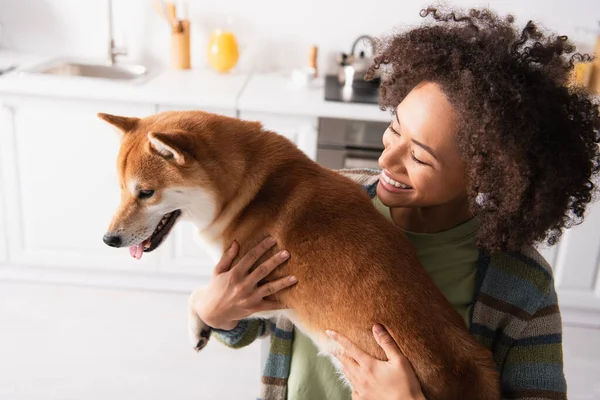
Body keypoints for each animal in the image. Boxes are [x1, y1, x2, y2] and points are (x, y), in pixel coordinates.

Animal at [99, 110, 502, 400]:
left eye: (146, 193)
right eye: (120, 189)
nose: (108, 239)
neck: (247, 192)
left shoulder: (270, 295)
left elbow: (198, 294)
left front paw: (197, 327)